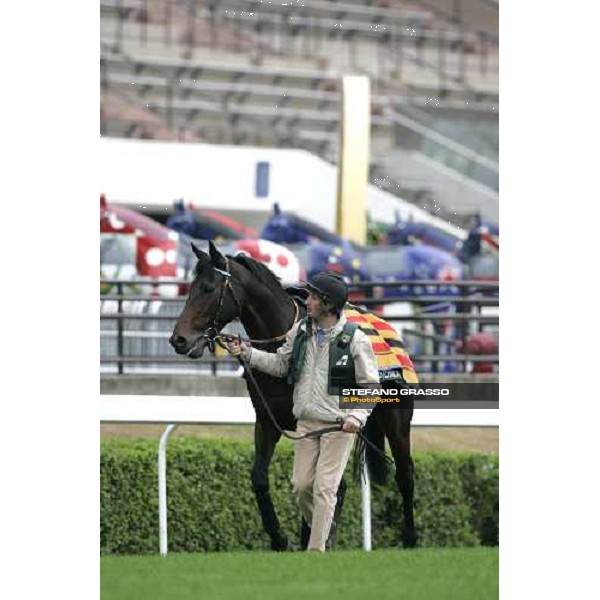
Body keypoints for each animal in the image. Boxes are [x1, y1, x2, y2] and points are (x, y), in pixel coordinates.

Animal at [166, 241, 414, 552]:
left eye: (209, 288)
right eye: (190, 287)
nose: (179, 339)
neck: (280, 340)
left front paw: (313, 537)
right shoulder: (267, 421)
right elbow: (260, 478)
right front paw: (280, 538)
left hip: (395, 420)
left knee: (404, 474)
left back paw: (410, 538)